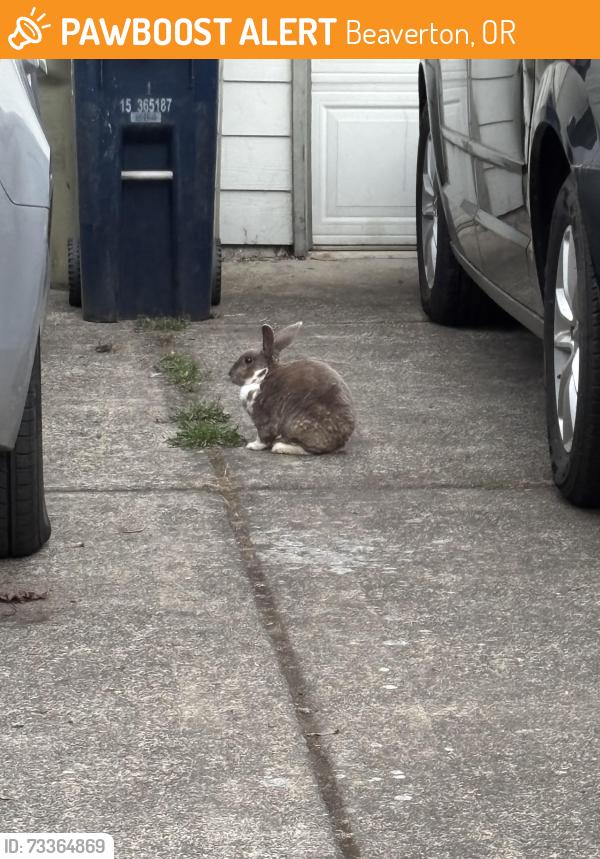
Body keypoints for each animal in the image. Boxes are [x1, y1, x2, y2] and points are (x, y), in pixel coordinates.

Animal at [229, 322, 355, 455]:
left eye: (248, 360)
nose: (230, 374)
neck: (264, 375)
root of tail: (339, 442)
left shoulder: (264, 419)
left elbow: (263, 437)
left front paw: (252, 446)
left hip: (298, 425)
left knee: (309, 449)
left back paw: (280, 447)